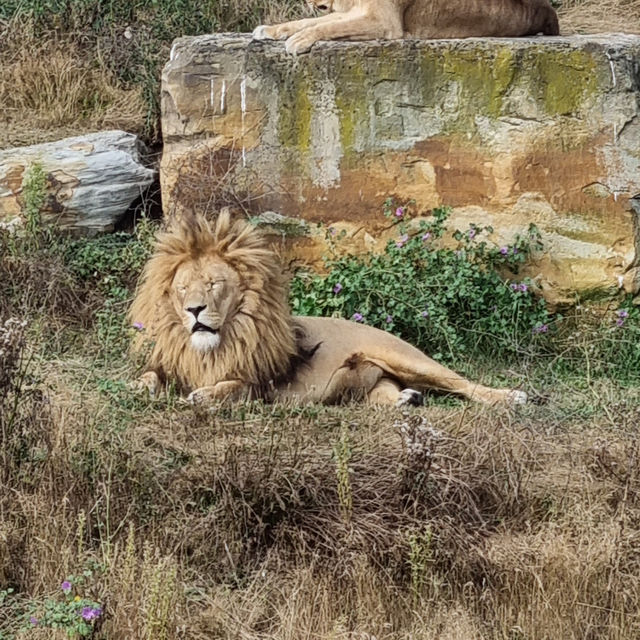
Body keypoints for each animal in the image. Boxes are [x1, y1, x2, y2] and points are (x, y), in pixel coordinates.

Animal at [127, 211, 528, 410]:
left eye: (213, 284)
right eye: (182, 289)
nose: (194, 310)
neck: (212, 348)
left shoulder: (263, 385)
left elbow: (232, 387)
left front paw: (204, 396)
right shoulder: (168, 364)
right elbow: (148, 378)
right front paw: (133, 388)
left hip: (408, 359)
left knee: (465, 385)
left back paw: (512, 397)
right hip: (373, 383)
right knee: (385, 395)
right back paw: (407, 399)